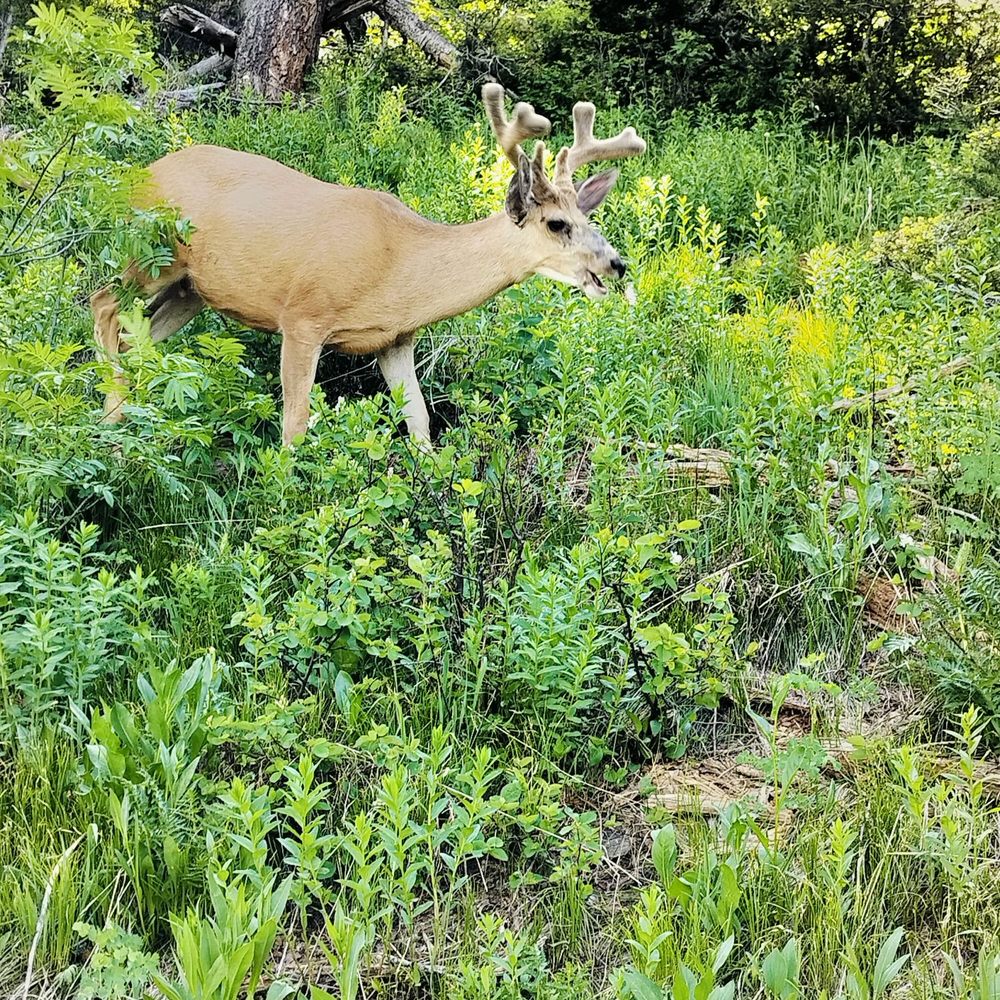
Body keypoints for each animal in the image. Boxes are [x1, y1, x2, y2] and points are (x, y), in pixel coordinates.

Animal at [91, 85, 646, 447]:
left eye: (590, 216)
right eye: (556, 223)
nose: (615, 264)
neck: (400, 264)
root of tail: (142, 174)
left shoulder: (394, 339)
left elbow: (420, 420)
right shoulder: (302, 318)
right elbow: (295, 424)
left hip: (192, 289)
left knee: (136, 337)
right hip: (149, 254)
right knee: (103, 305)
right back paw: (111, 421)